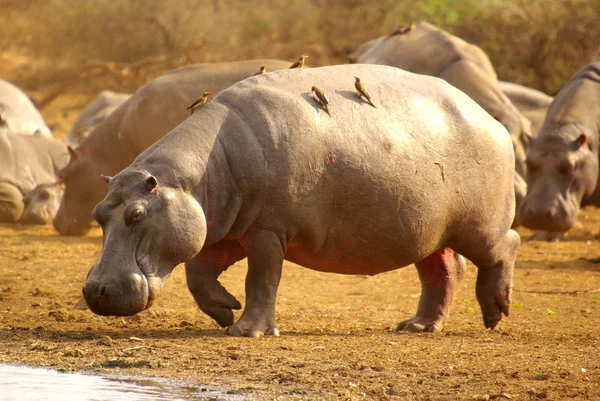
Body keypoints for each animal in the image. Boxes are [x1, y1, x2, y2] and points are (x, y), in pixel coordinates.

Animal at [82, 64, 516, 336]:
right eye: (99, 213)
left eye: (138, 214)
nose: (94, 290)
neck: (195, 177)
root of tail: (492, 120)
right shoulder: (221, 230)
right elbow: (198, 277)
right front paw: (226, 311)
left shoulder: (267, 230)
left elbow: (261, 279)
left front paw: (246, 331)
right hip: (428, 232)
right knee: (444, 270)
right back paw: (417, 326)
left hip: (479, 225)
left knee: (503, 247)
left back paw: (496, 314)